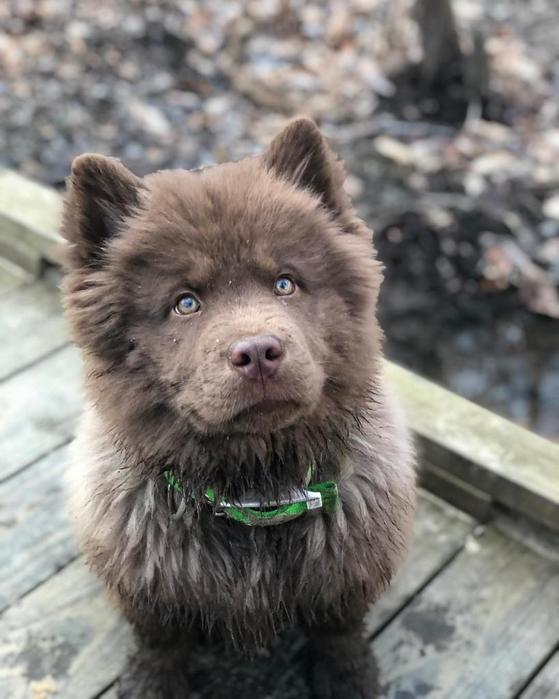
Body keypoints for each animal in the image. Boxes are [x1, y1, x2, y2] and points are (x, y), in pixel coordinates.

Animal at [63, 117, 418, 696]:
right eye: (185, 303)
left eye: (285, 283)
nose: (257, 352)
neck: (256, 494)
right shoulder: (149, 592)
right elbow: (159, 642)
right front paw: (150, 682)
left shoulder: (346, 582)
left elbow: (339, 635)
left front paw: (349, 678)